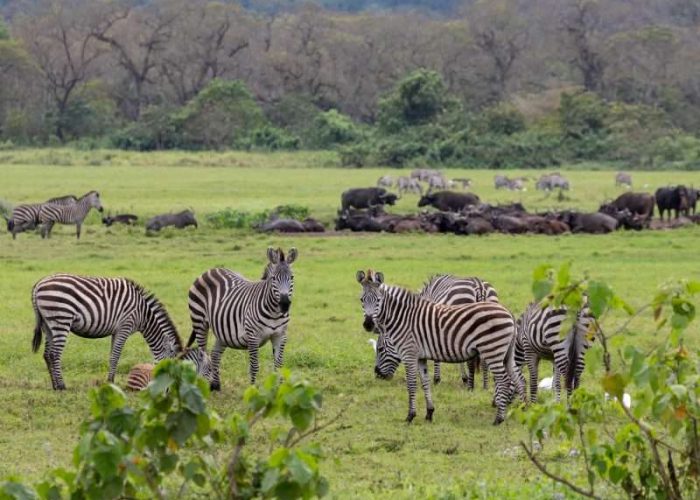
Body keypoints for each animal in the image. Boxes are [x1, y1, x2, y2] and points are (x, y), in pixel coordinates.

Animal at [31, 274, 186, 390]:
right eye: (173, 361)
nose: (172, 386)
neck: (143, 314)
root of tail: (39, 284)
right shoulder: (125, 327)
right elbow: (115, 356)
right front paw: (111, 381)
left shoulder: (115, 331)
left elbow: (112, 355)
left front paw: (110, 381)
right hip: (61, 319)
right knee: (55, 354)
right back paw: (62, 386)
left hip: (48, 324)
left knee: (47, 354)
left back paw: (54, 385)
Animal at [187, 246, 296, 390]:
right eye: (273, 278)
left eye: (292, 277)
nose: (284, 304)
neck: (274, 313)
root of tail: (211, 270)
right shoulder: (253, 337)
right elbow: (254, 367)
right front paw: (252, 390)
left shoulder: (280, 336)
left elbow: (279, 366)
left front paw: (279, 390)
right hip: (199, 322)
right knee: (203, 355)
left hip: (223, 330)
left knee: (215, 354)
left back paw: (216, 385)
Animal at [358, 270, 524, 426]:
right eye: (361, 300)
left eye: (380, 349)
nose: (368, 324)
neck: (403, 319)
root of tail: (508, 312)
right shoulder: (421, 357)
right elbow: (424, 383)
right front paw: (429, 413)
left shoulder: (409, 354)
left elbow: (411, 384)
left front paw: (410, 416)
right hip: (506, 354)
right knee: (519, 378)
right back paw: (524, 409)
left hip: (492, 351)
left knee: (503, 380)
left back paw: (499, 418)